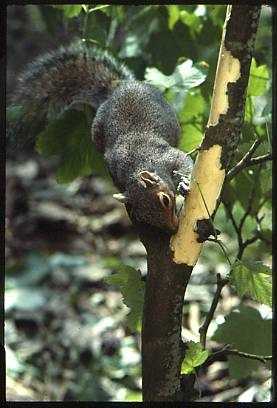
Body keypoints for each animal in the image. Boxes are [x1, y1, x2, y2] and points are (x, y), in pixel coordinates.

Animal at [7, 41, 192, 234]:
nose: (173, 228)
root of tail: (114, 88)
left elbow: (184, 163)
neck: (139, 164)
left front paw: (184, 184)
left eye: (165, 200)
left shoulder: (166, 156)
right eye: (144, 217)